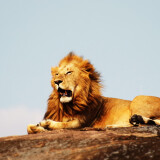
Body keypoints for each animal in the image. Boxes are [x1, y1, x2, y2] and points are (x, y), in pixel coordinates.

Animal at [27, 52, 160, 134]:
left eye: (69, 72)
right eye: (56, 74)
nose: (57, 81)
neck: (67, 106)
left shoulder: (81, 123)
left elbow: (63, 125)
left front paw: (46, 124)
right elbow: (28, 127)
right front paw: (38, 128)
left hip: (138, 98)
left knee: (145, 125)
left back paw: (115, 125)